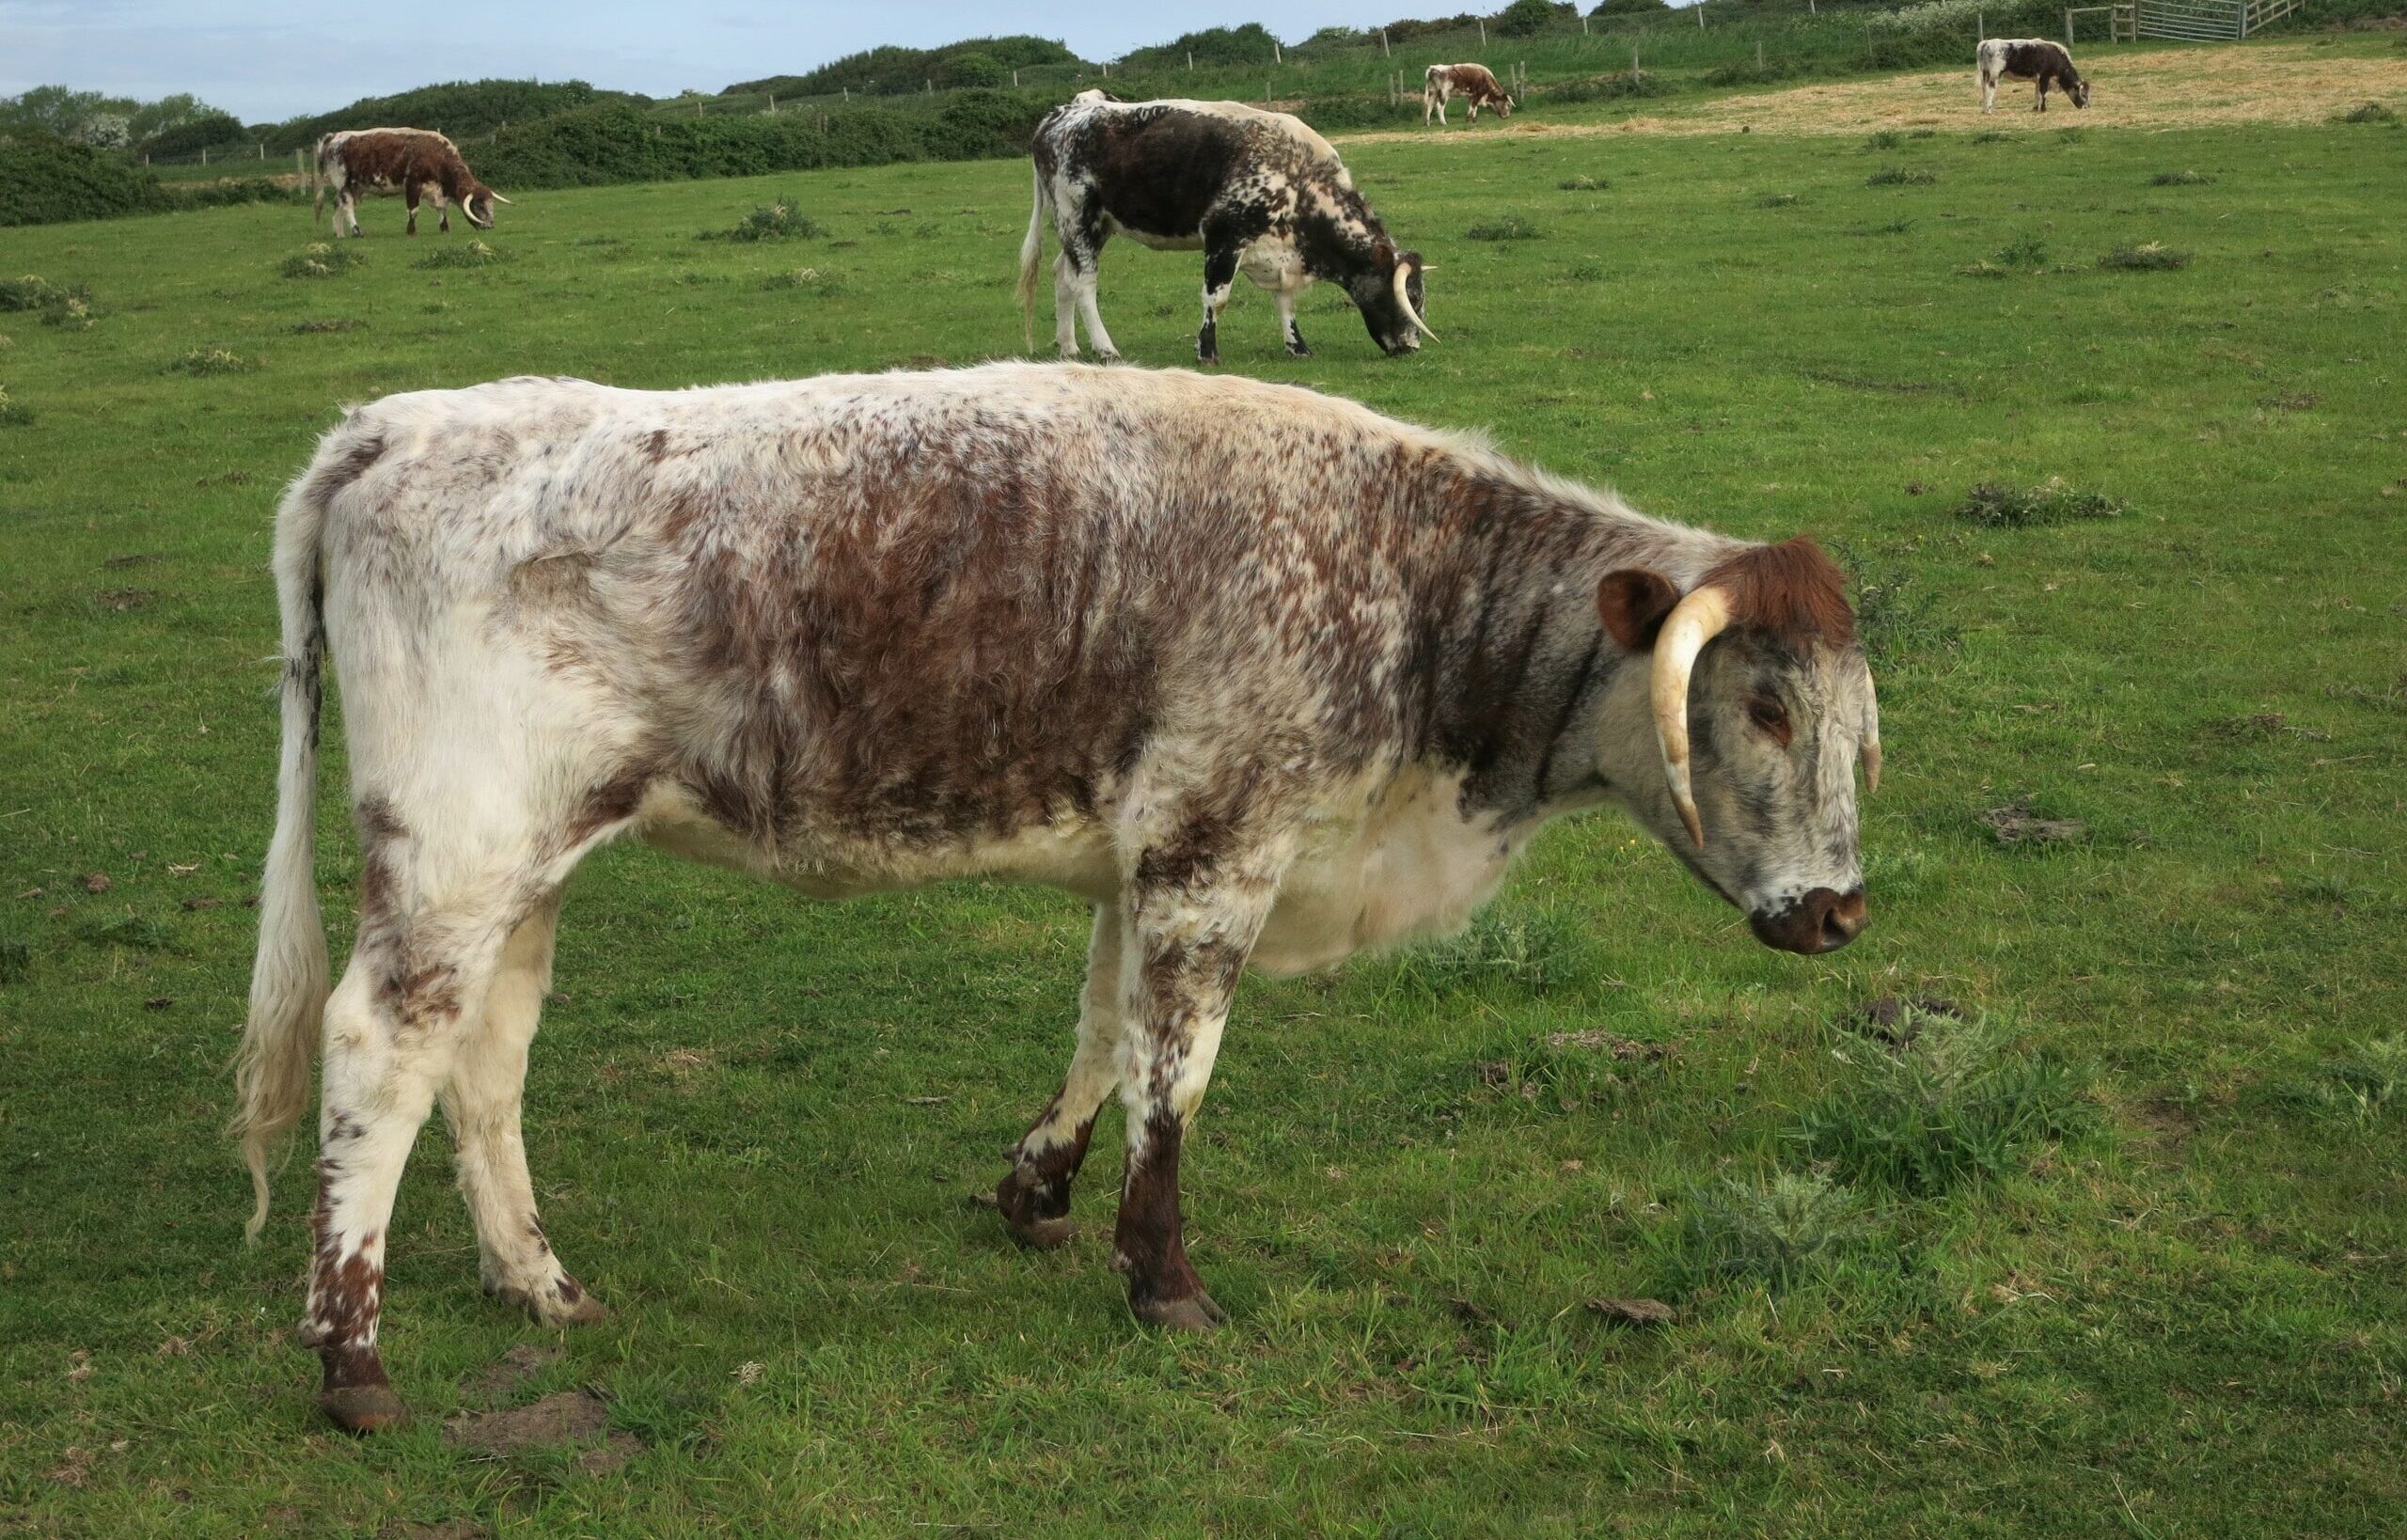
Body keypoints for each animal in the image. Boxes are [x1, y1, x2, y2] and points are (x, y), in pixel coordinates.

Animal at [232, 362, 1880, 1431]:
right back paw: (351, 1358)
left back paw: (539, 1283)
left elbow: (1102, 1030)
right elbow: (1178, 1073)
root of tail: (386, 425)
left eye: (1857, 725)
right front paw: (1163, 1278)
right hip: (451, 854)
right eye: (1762, 707)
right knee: (378, 1050)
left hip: (528, 869)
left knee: (486, 1063)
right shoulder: (1219, 844)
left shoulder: (1145, 854)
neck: (1404, 581)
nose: (1839, 911)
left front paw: (1038, 1188)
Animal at [313, 128, 511, 237]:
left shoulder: (437, 190)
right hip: (344, 184)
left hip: (356, 187)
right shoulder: (412, 184)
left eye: (491, 205)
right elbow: (413, 210)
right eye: (479, 206)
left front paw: (444, 227)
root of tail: (334, 137)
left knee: (338, 205)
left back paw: (339, 233)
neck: (436, 155)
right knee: (347, 207)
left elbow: (442, 209)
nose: (490, 226)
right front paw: (411, 230)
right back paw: (356, 231)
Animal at [1018, 95, 1434, 365]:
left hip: (1091, 227)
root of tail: (1060, 114)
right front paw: (1207, 351)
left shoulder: (1280, 253)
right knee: (1084, 284)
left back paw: (1069, 347)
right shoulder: (1224, 239)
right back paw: (1105, 348)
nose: (1411, 347)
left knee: (1063, 275)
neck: (1299, 180)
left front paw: (1297, 346)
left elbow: (1286, 303)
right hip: (1079, 218)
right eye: (1410, 298)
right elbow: (1215, 299)